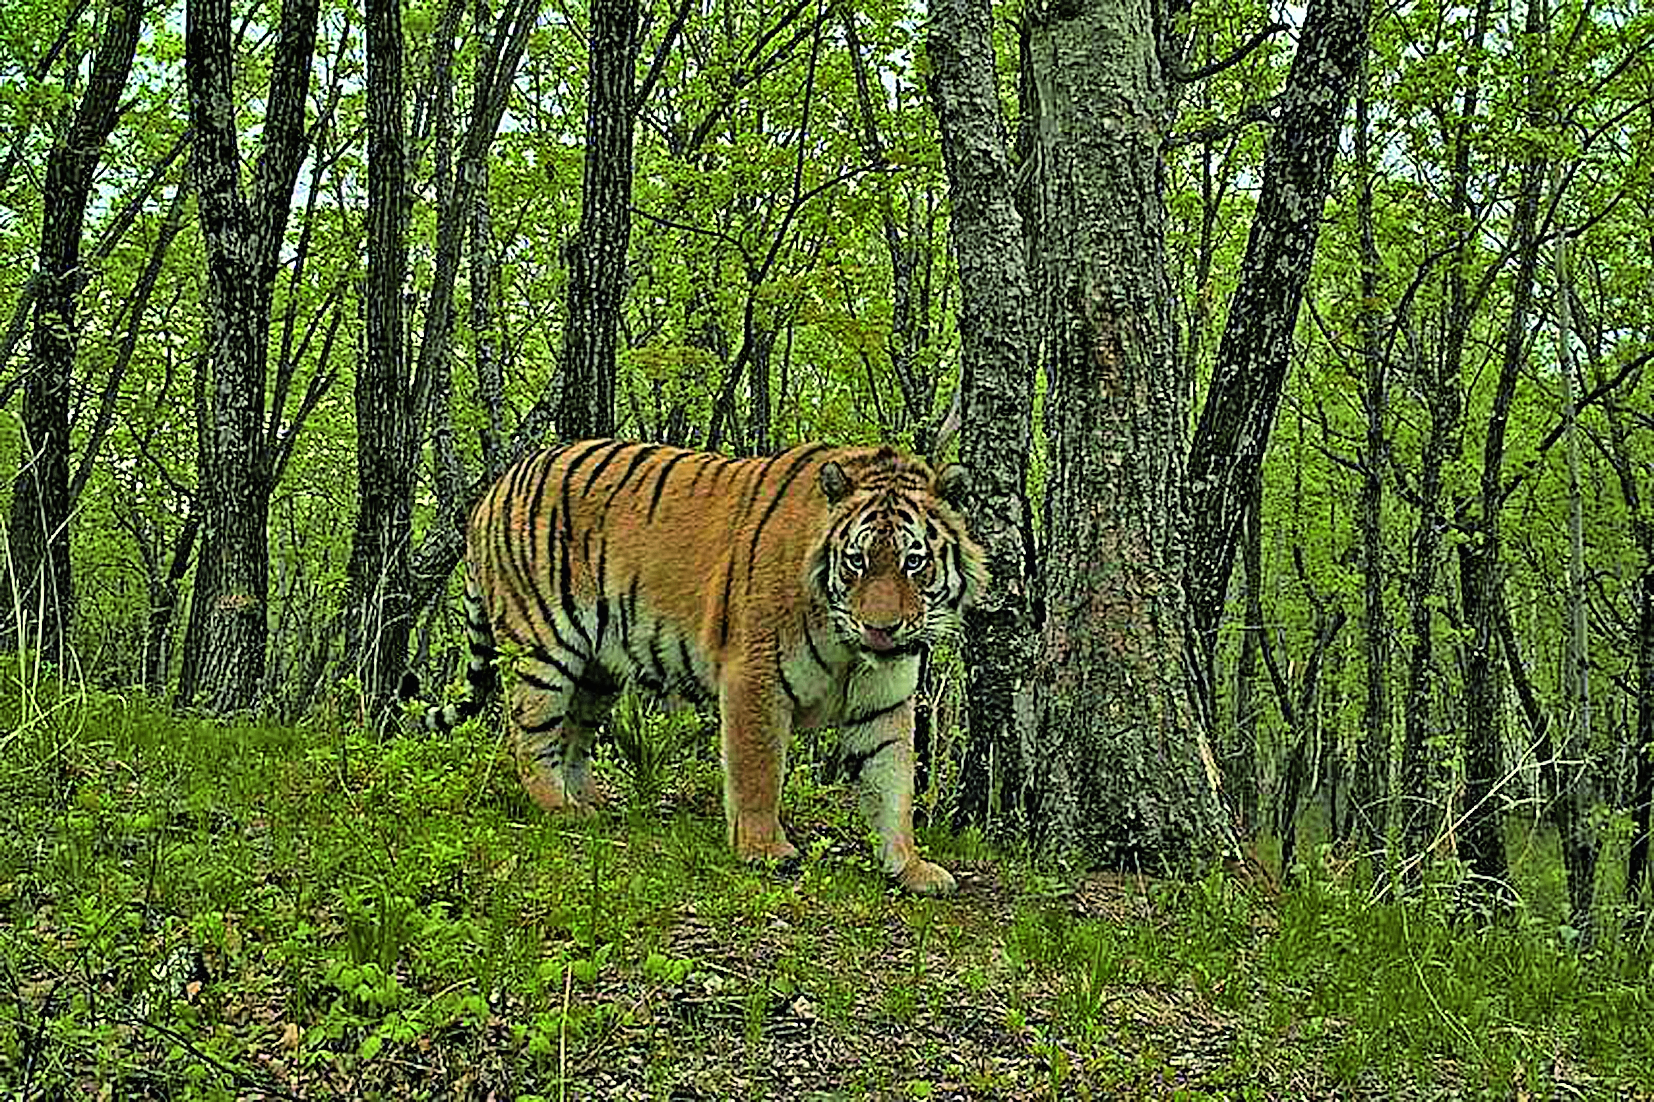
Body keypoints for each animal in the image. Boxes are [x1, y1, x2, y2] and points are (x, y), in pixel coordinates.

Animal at [401, 436, 985, 893]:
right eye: (857, 561)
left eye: (913, 561)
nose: (881, 628)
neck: (849, 647)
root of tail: (492, 490)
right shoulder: (755, 676)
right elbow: (758, 771)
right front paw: (763, 850)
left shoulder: (884, 701)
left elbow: (893, 783)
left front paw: (910, 866)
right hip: (543, 647)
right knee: (529, 736)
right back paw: (559, 807)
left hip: (598, 669)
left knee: (572, 737)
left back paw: (593, 806)